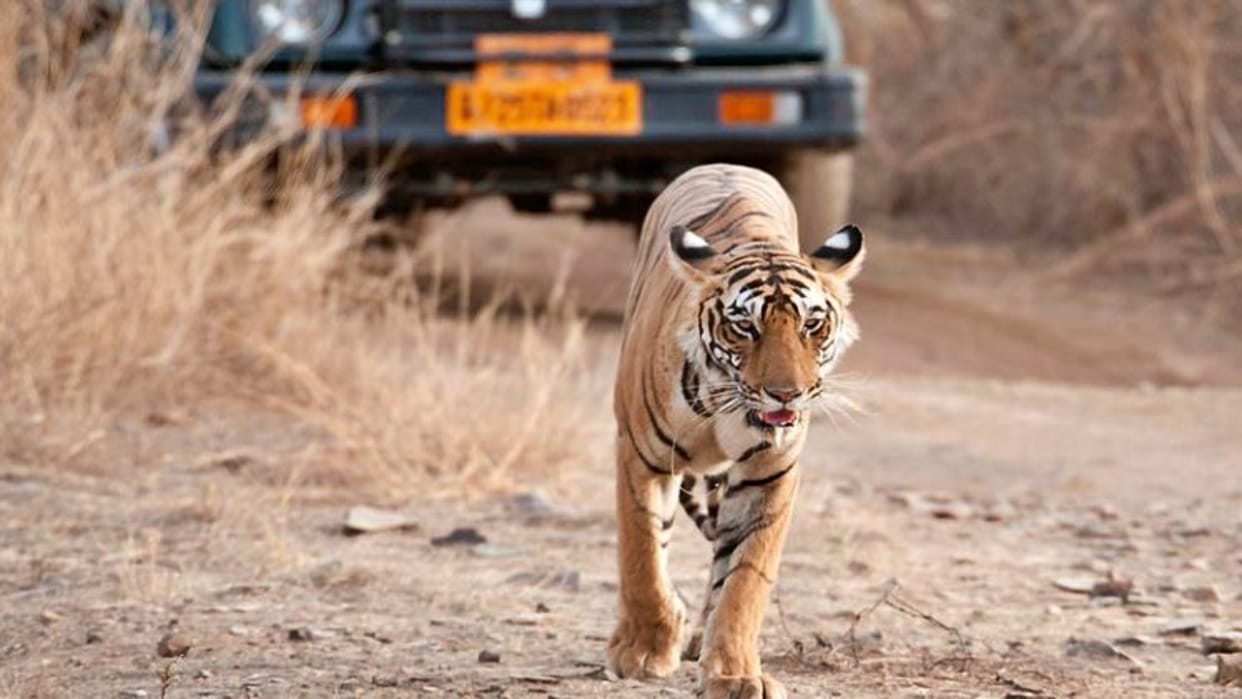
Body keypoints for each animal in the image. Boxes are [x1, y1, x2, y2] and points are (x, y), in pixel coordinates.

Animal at [608, 163, 865, 698]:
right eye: (745, 327)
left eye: (812, 325)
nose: (787, 394)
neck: (726, 404)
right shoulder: (641, 457)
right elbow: (642, 556)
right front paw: (643, 651)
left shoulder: (771, 474)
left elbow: (745, 579)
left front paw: (733, 673)